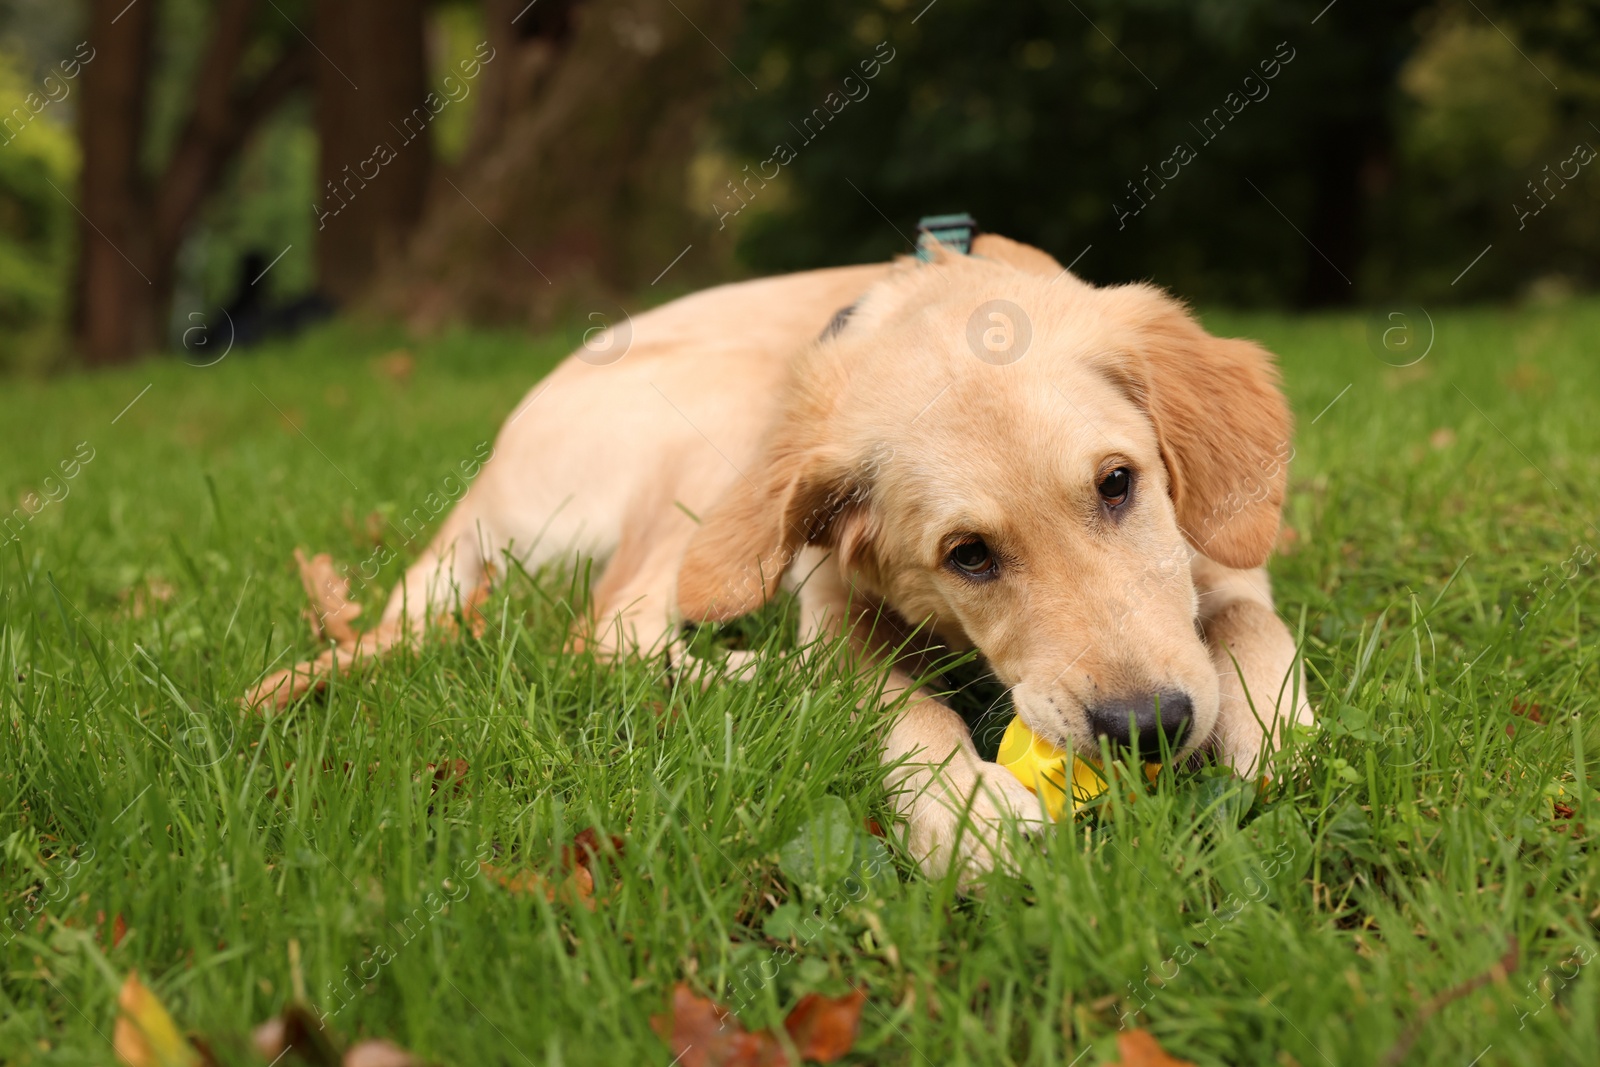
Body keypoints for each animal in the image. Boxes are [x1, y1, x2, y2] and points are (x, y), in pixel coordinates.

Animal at [256, 238, 1312, 883]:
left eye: (1120, 484)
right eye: (967, 555)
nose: (1146, 728)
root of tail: (482, 477)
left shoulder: (1221, 561)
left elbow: (1252, 627)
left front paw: (1272, 734)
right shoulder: (836, 607)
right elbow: (900, 706)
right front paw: (965, 810)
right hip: (725, 418)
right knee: (609, 629)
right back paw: (772, 680)